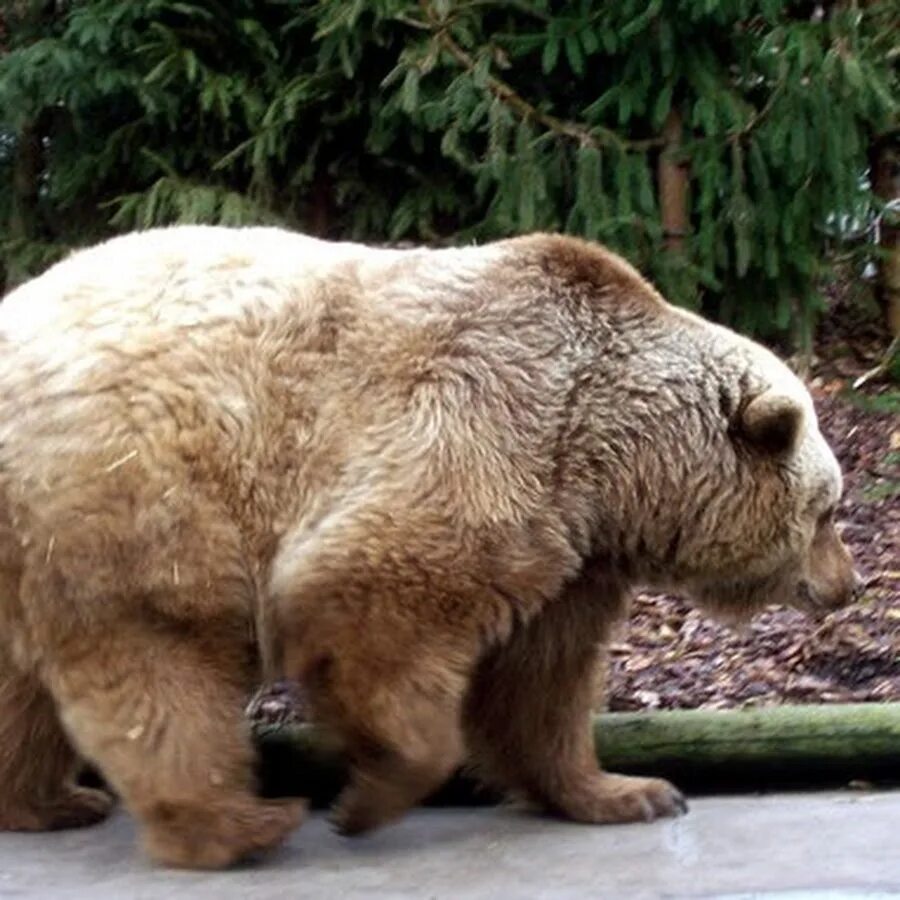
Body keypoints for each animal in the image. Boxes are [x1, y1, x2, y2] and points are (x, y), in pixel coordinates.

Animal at [0, 225, 860, 864]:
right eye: (826, 509)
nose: (846, 584)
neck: (608, 458)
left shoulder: (571, 550)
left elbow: (540, 683)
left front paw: (627, 790)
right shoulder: (485, 430)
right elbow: (367, 601)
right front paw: (371, 792)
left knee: (27, 688)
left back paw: (47, 801)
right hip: (135, 495)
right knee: (164, 666)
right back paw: (238, 822)